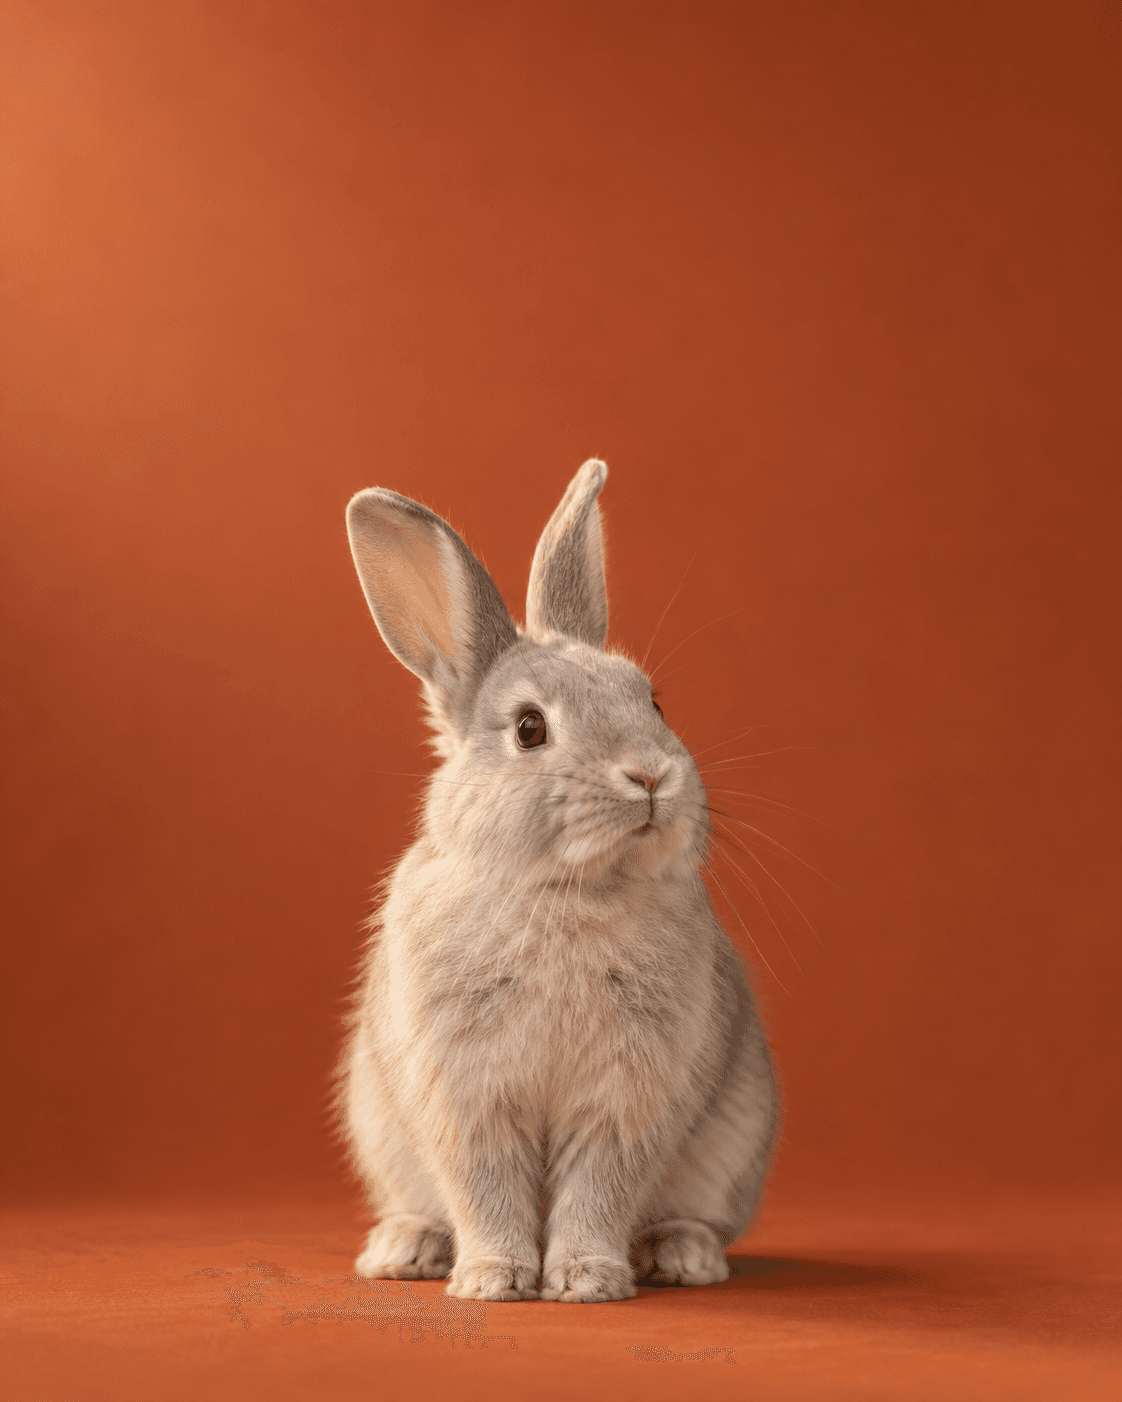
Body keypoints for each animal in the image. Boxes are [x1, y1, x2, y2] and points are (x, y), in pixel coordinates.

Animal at [336, 459, 778, 1303]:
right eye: (529, 729)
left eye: (653, 701)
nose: (651, 776)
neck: (564, 894)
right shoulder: (467, 1094)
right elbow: (486, 1186)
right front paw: (495, 1279)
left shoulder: (626, 1098)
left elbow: (598, 1186)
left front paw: (585, 1279)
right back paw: (404, 1250)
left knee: (696, 1215)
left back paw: (682, 1256)